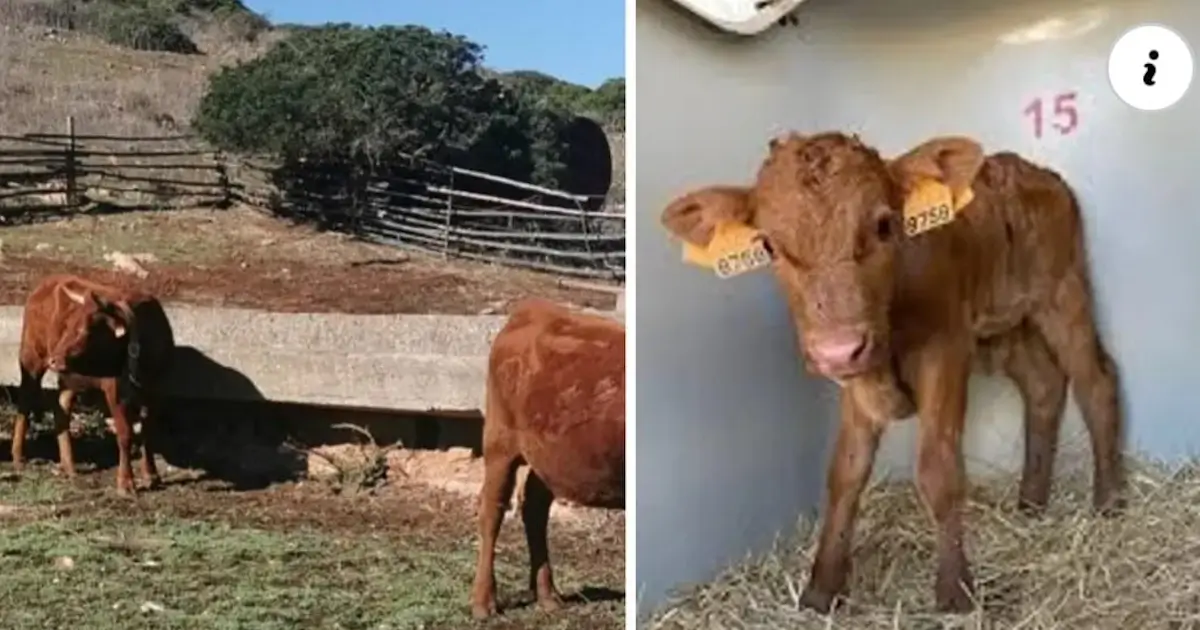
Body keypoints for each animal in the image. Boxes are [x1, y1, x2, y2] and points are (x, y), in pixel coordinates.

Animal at [12, 274, 176, 496]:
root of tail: (43, 286)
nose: (54, 360)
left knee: (61, 408)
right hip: (31, 358)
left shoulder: (156, 392)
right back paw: (18, 457)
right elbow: (125, 433)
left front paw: (151, 475)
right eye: (68, 325)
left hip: (69, 377)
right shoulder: (115, 391)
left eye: (85, 329)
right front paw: (126, 482)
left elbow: (148, 431)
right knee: (25, 400)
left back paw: (69, 466)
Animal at [469, 298, 625, 620]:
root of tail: (534, 308)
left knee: (534, 509)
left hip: (549, 456)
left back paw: (548, 595)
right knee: (492, 510)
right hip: (499, 443)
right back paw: (483, 602)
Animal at [659, 131, 1124, 613]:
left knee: (1096, 381)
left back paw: (1108, 501)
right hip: (1005, 326)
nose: (837, 349)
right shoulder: (856, 376)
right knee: (1043, 384)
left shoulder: (945, 350)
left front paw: (955, 593)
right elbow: (845, 472)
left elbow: (939, 469)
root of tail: (1033, 170)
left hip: (1063, 292)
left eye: (884, 225)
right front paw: (821, 589)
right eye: (768, 245)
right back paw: (1031, 503)